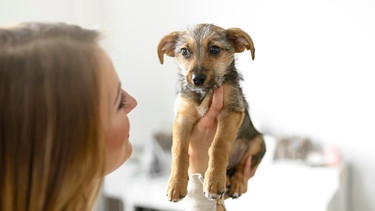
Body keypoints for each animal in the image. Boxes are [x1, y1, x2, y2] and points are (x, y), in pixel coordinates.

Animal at [157, 23, 266, 203]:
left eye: (214, 49)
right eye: (184, 52)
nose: (197, 79)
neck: (205, 92)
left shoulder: (231, 111)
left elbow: (218, 145)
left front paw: (214, 181)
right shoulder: (183, 117)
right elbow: (179, 150)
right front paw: (176, 184)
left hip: (258, 142)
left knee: (242, 166)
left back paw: (235, 184)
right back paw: (226, 180)